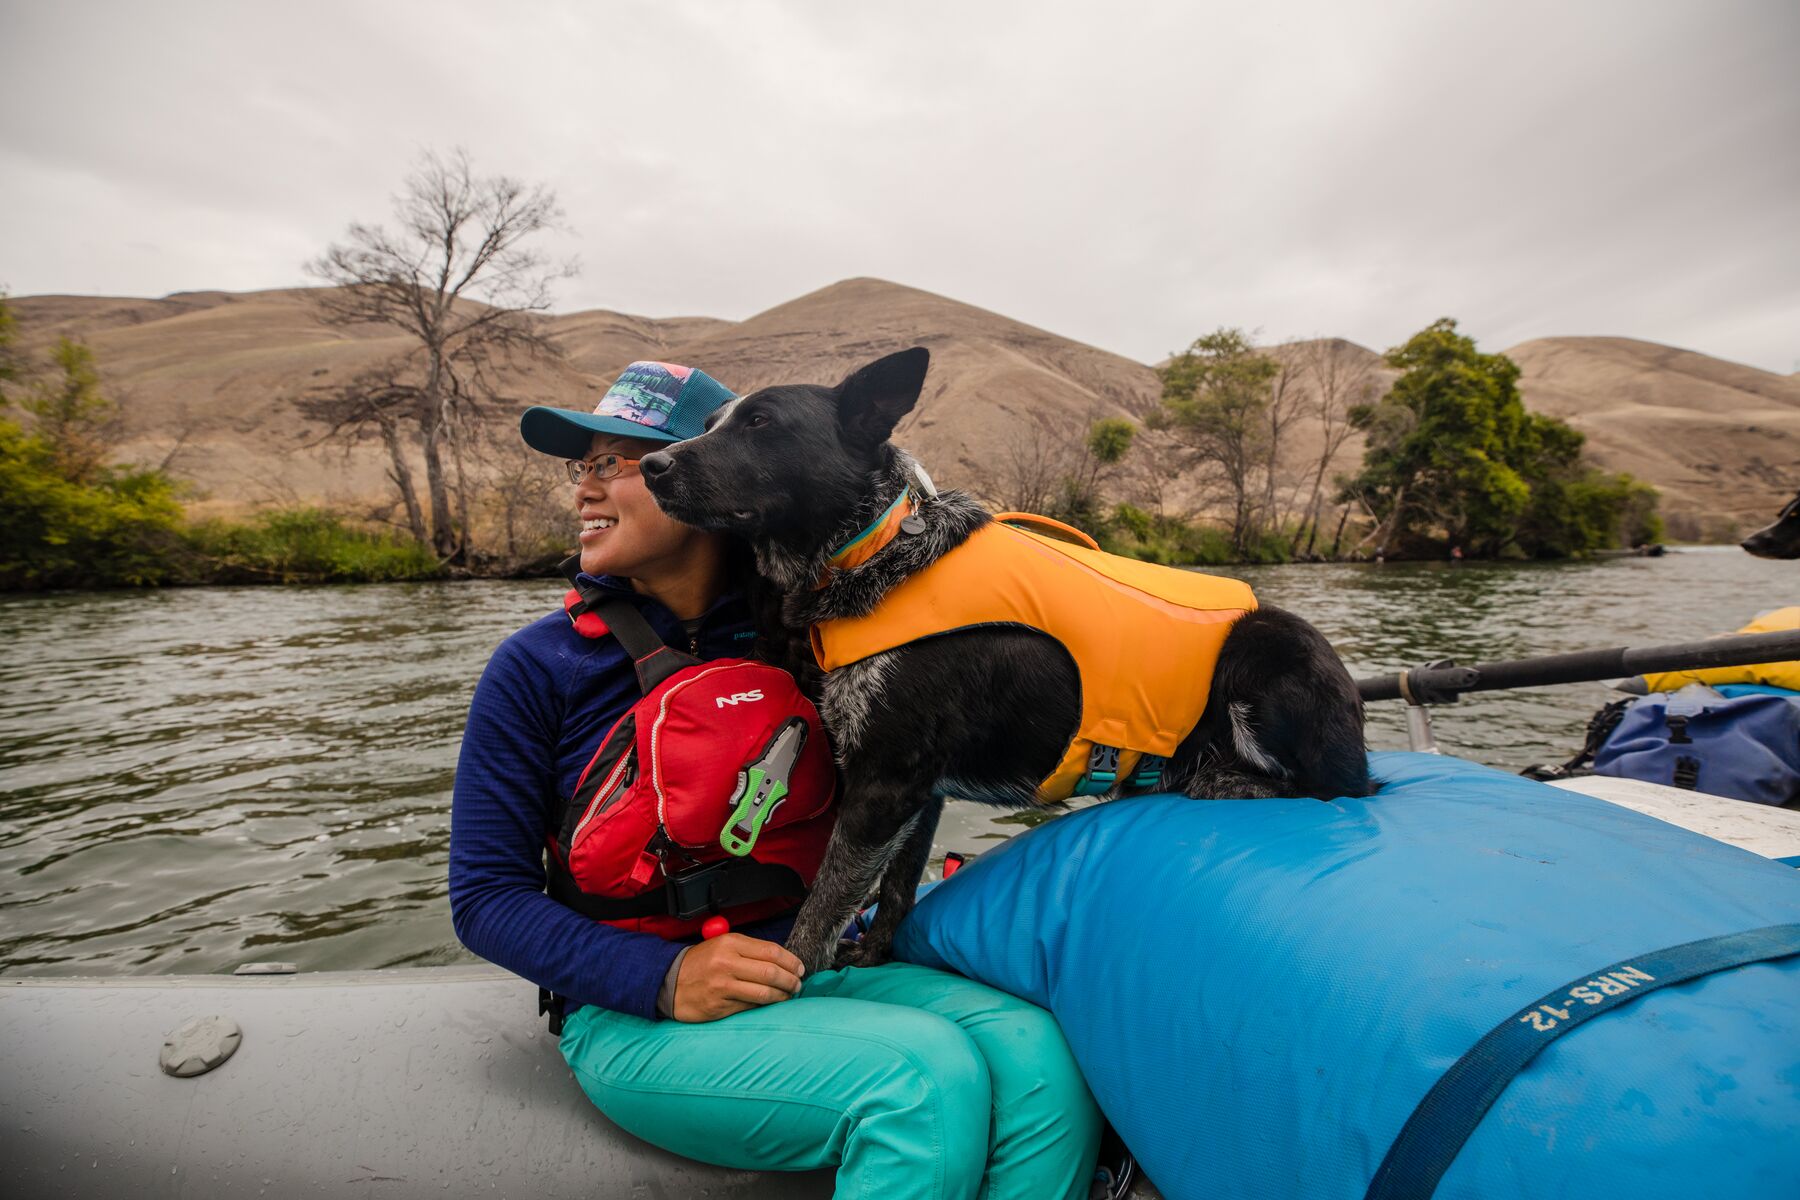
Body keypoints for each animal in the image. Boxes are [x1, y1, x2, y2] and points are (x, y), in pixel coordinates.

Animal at [640, 347, 1368, 978]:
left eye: (761, 423)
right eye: (712, 424)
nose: (651, 464)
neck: (874, 551)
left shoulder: (884, 782)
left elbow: (821, 908)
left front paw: (792, 981)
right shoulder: (917, 791)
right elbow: (896, 887)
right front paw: (874, 955)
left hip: (1268, 643)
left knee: (1335, 789)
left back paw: (1221, 780)